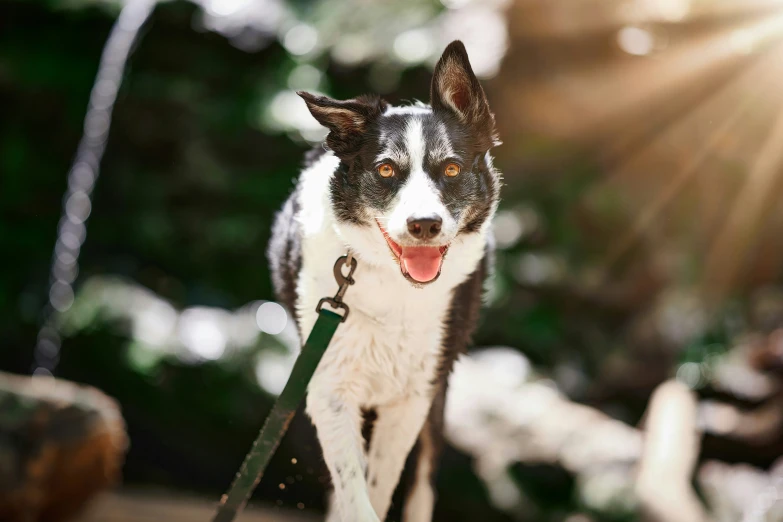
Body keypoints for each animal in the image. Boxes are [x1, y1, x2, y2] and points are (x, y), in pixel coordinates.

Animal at [268, 40, 502, 520]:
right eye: (386, 171)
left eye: (452, 170)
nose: (424, 225)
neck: (396, 287)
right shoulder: (328, 387)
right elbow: (354, 494)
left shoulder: (414, 396)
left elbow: (380, 487)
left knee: (422, 483)